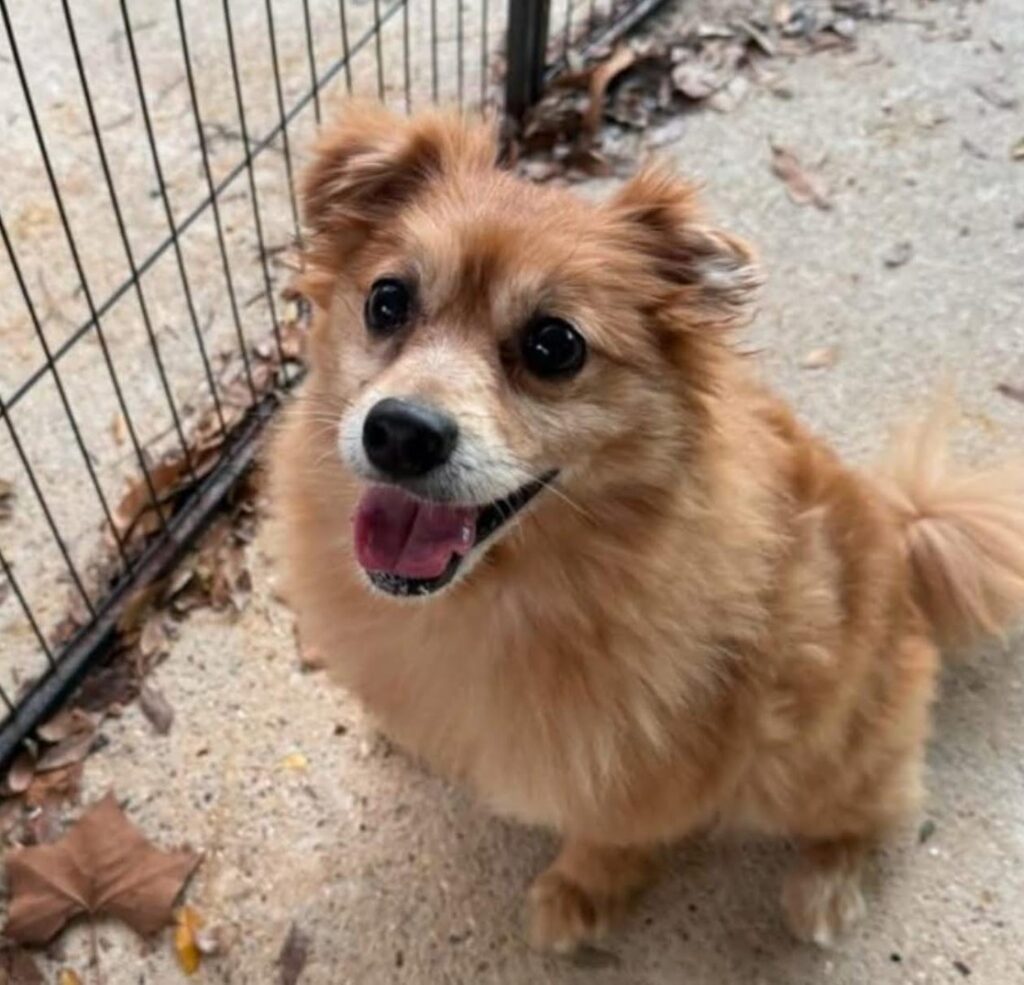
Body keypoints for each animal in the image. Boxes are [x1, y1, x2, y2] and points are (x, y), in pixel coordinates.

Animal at [270, 103, 1024, 950]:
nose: (400, 431)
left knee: (878, 804)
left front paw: (579, 892)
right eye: (388, 301)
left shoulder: (649, 764)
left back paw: (826, 885)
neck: (508, 589)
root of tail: (904, 532)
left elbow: (613, 834)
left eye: (554, 345)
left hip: (808, 757)